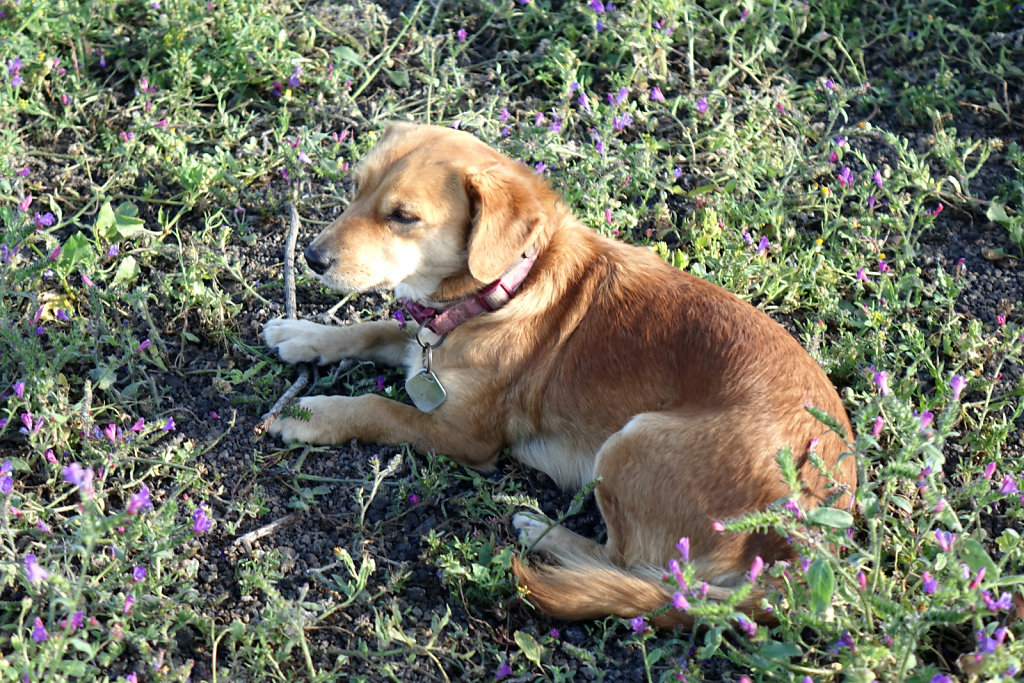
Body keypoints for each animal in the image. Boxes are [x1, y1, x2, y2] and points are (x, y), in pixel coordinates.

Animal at [264, 121, 856, 626]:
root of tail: (807, 552)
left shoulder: (464, 437)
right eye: (355, 188)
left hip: (631, 446)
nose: (311, 257)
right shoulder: (419, 341)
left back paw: (542, 531)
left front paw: (311, 414)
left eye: (403, 216)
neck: (507, 286)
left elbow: (380, 407)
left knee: (631, 566)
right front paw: (304, 333)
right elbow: (374, 329)